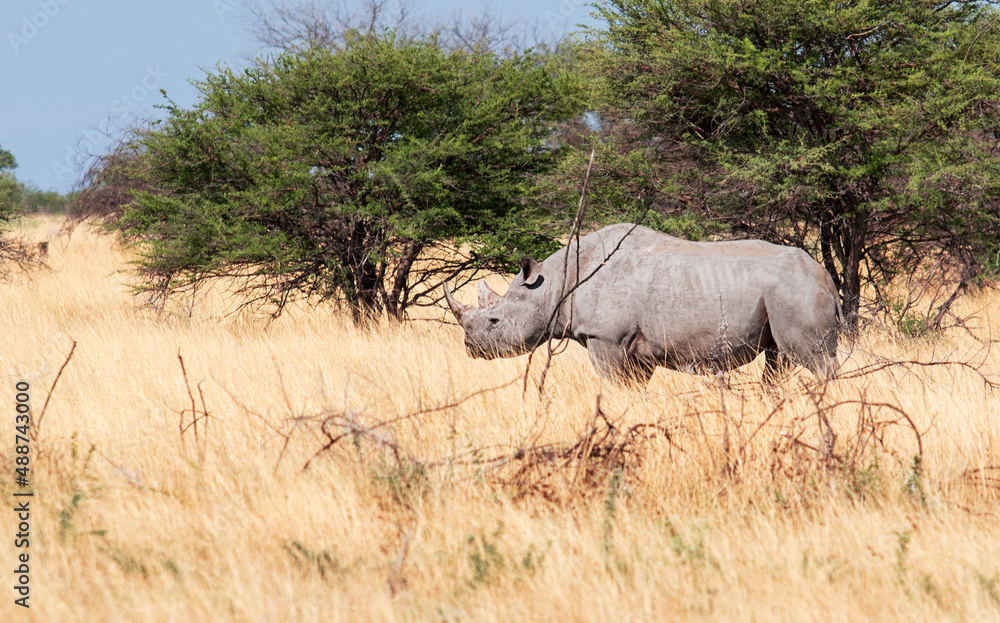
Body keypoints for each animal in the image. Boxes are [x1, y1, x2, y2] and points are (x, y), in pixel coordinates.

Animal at [442, 223, 841, 385]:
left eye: (494, 321)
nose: (469, 348)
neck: (552, 285)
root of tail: (826, 277)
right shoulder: (635, 347)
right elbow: (635, 389)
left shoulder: (605, 338)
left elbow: (613, 386)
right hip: (786, 293)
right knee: (779, 360)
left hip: (796, 290)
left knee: (812, 358)